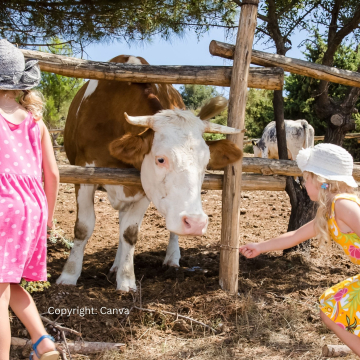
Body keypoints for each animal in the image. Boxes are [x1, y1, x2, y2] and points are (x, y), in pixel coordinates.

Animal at [56, 55, 242, 292]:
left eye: (206, 162)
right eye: (160, 159)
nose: (196, 223)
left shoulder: (143, 186)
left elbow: (129, 233)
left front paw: (126, 279)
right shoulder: (84, 175)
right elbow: (83, 227)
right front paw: (69, 276)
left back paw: (169, 258)